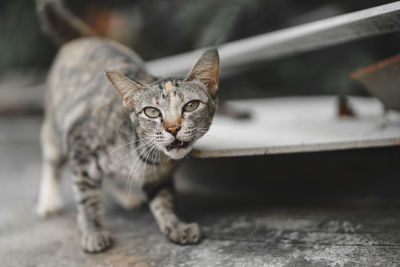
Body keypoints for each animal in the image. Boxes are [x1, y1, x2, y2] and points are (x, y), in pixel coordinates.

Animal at [36, 0, 220, 253]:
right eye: (152, 112)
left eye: (191, 105)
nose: (172, 128)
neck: (144, 156)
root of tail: (87, 37)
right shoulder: (80, 145)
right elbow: (87, 198)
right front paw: (93, 232)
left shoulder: (160, 176)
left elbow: (163, 200)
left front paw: (175, 225)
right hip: (55, 127)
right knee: (51, 160)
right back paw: (48, 200)